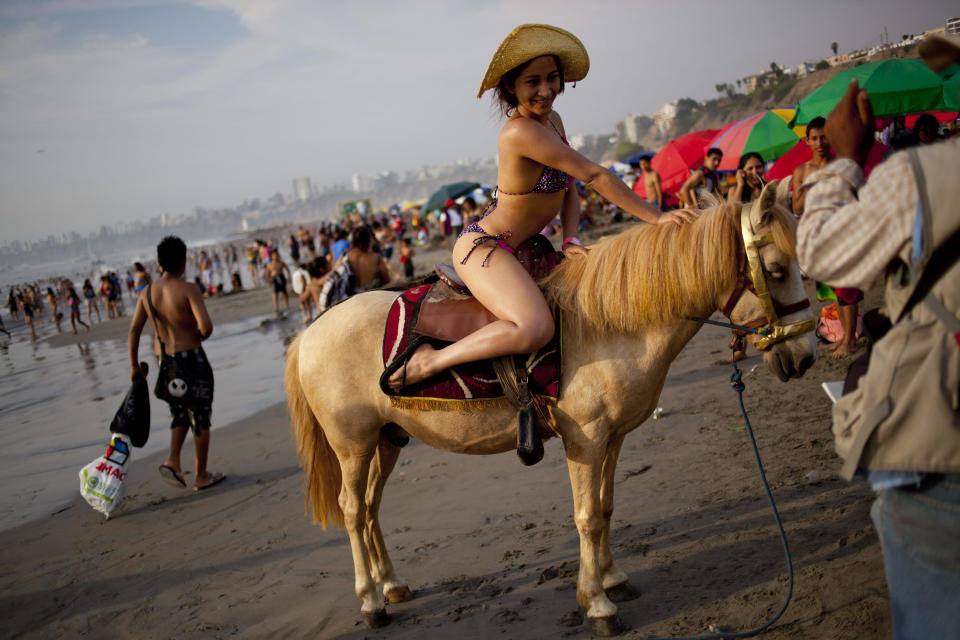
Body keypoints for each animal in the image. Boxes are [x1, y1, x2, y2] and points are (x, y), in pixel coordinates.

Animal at [284, 184, 816, 636]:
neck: (607, 322)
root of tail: (309, 333)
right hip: (351, 444)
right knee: (352, 510)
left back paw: (391, 585)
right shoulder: (586, 439)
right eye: (774, 269)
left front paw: (612, 577)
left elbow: (605, 506)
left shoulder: (613, 437)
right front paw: (597, 603)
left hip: (386, 439)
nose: (806, 356)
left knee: (371, 507)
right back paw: (371, 601)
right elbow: (586, 516)